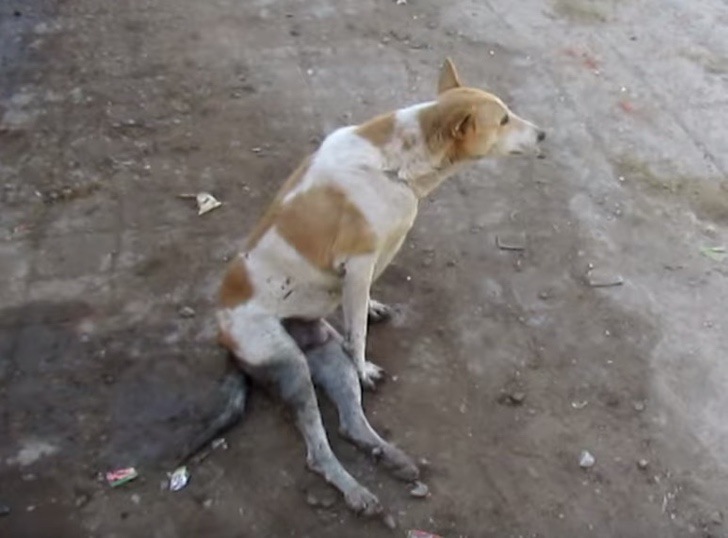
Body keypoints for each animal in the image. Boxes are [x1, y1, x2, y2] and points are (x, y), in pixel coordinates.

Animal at [185, 57, 544, 516]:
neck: (396, 165)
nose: (544, 134)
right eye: (502, 120)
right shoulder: (357, 264)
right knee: (318, 451)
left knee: (351, 425)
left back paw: (392, 459)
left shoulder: (366, 270)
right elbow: (357, 334)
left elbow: (360, 309)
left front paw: (373, 308)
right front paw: (366, 364)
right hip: (292, 366)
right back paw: (356, 492)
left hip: (324, 357)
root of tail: (226, 341)